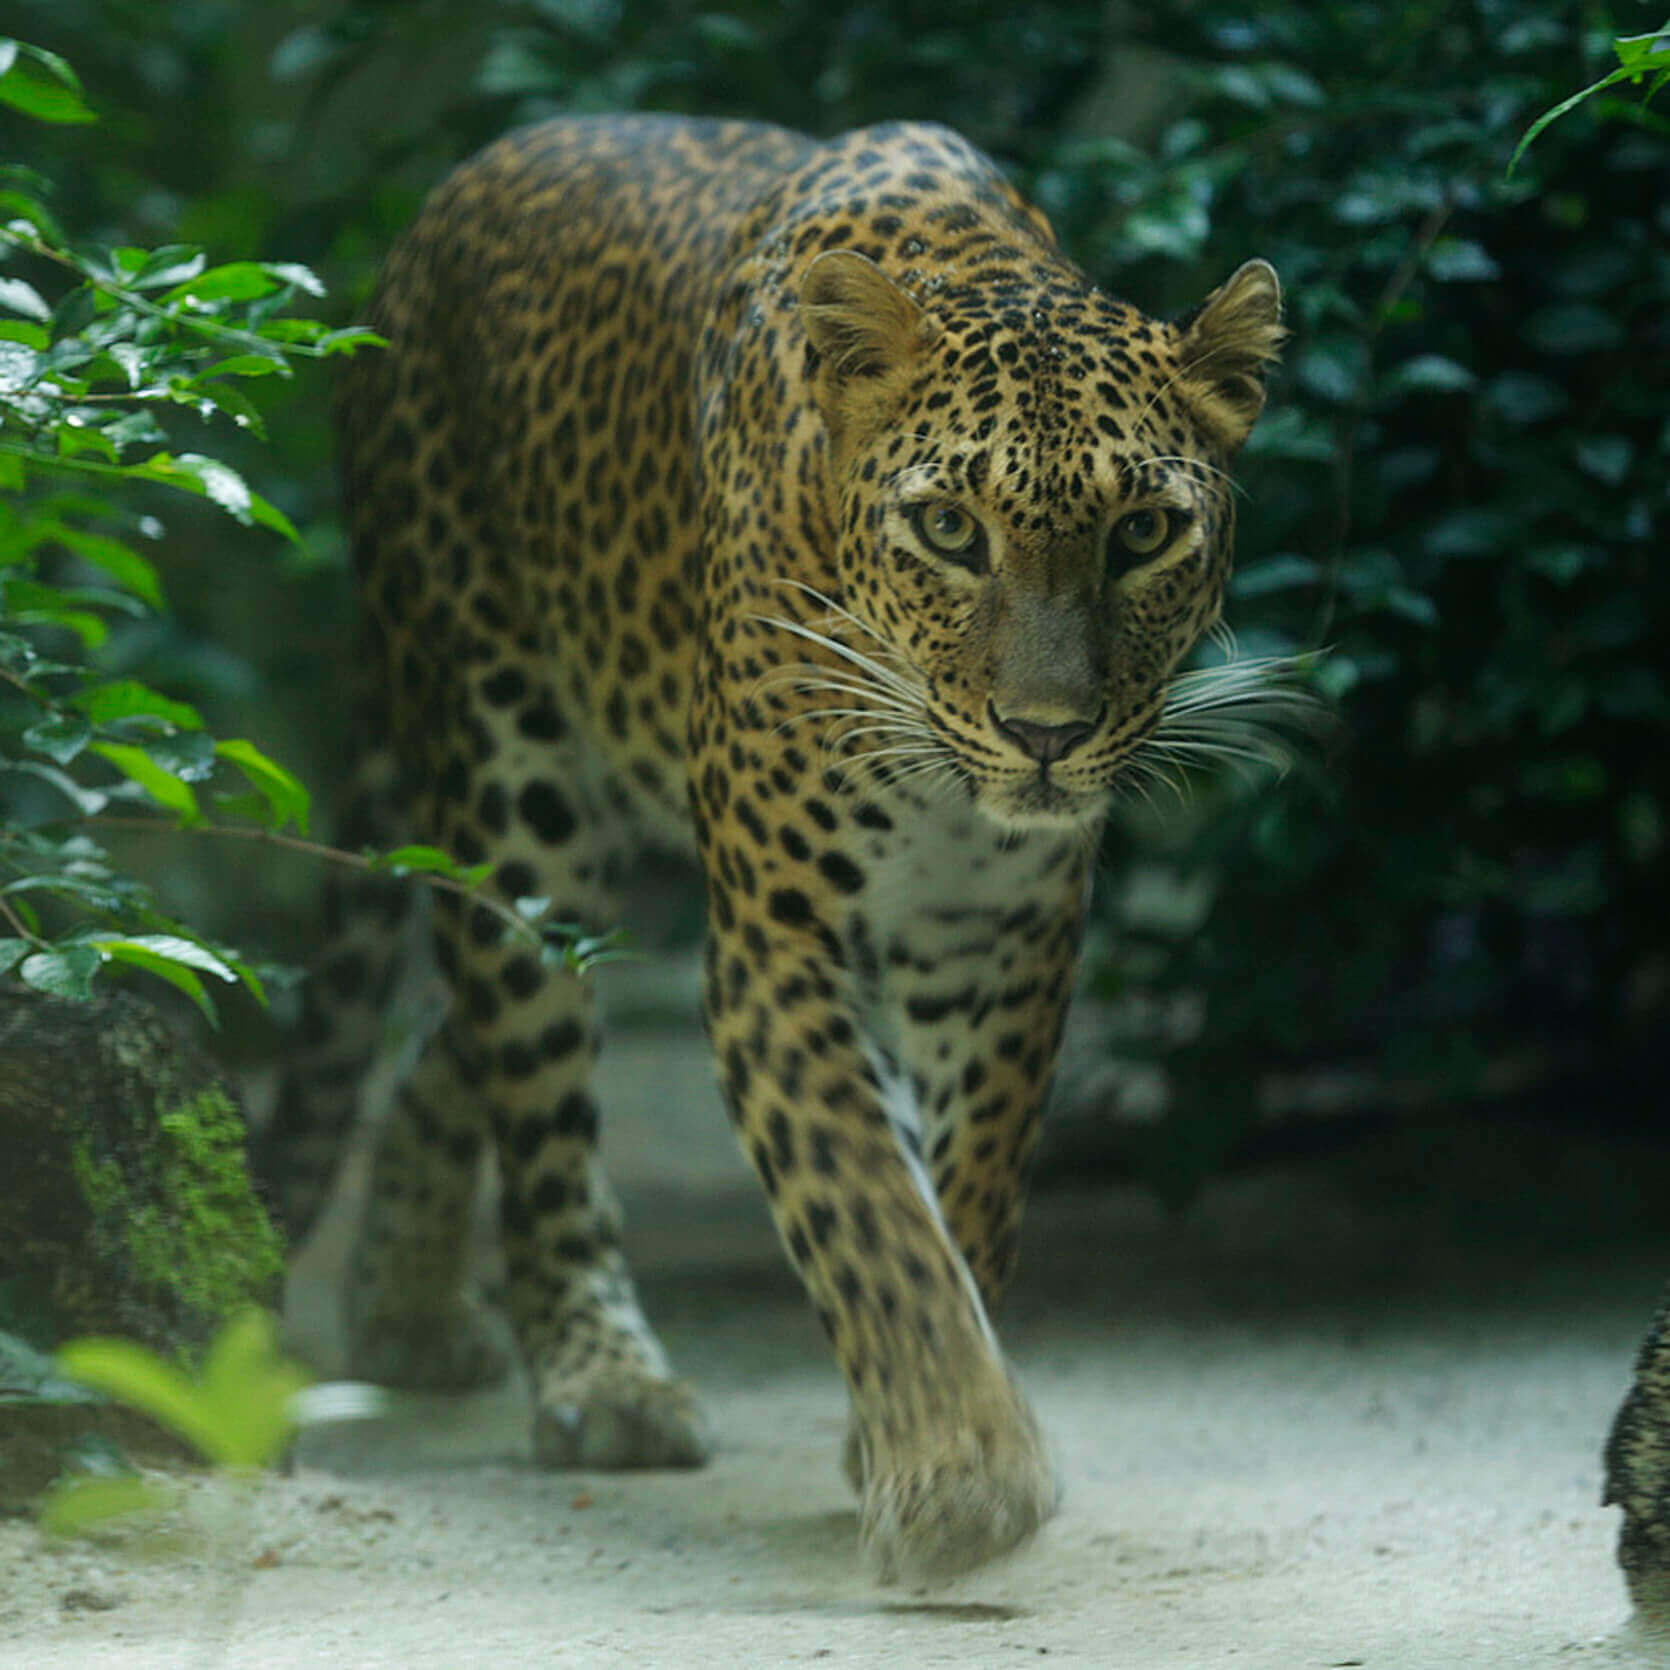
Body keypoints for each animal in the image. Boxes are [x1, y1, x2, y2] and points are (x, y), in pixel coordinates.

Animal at [263, 113, 1285, 1582]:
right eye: (948, 529)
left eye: (1143, 531)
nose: (1044, 733)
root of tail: (452, 193)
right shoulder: (774, 946)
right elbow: (867, 1205)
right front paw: (960, 1467)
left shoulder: (1004, 937)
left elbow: (965, 1193)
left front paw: (908, 1426)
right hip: (512, 777)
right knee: (528, 1062)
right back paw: (600, 1380)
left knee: (447, 1036)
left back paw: (405, 1309)